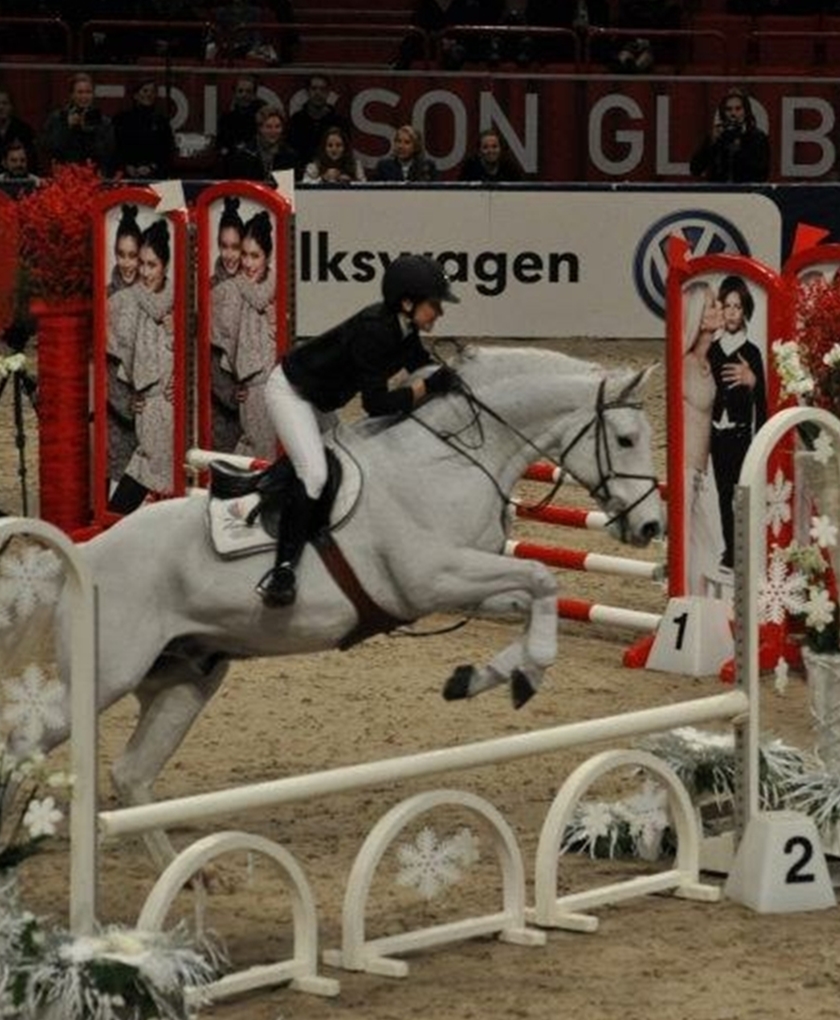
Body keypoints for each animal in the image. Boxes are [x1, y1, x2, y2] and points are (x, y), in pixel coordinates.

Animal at [6, 344, 663, 867]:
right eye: (627, 439)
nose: (652, 527)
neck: (449, 462)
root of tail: (82, 558)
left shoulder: (465, 583)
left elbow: (535, 592)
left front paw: (490, 677)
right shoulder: (431, 579)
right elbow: (541, 578)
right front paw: (522, 674)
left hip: (184, 679)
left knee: (131, 774)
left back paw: (190, 876)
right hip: (103, 678)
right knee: (25, 747)